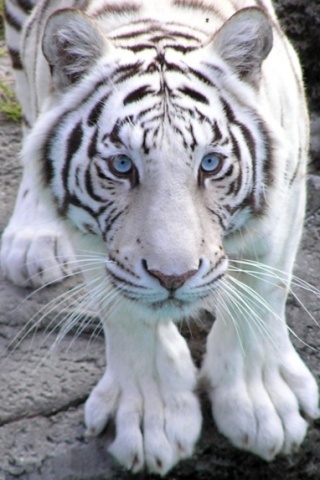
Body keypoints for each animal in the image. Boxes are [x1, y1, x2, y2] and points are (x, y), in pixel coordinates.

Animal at [1, 0, 318, 474]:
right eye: (121, 165)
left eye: (210, 163)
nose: (174, 277)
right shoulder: (97, 246)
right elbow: (126, 313)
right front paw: (153, 423)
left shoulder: (288, 192)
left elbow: (263, 290)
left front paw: (263, 408)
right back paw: (31, 239)